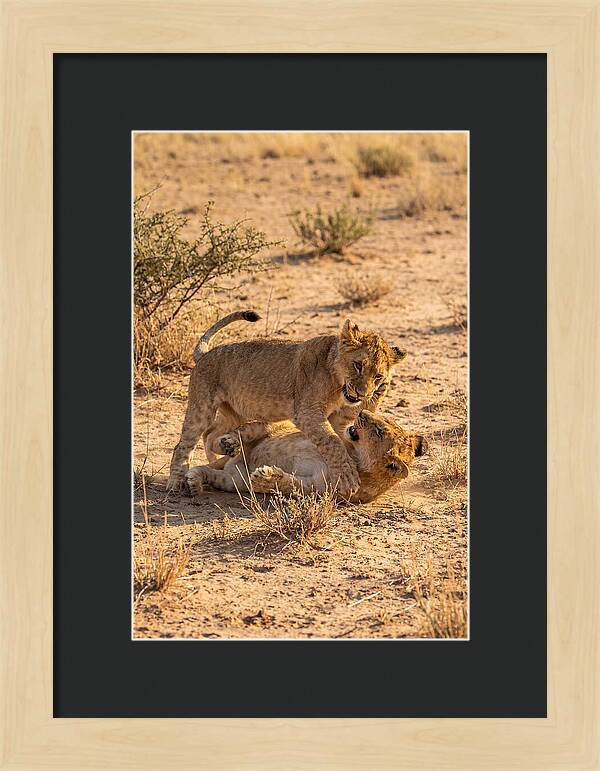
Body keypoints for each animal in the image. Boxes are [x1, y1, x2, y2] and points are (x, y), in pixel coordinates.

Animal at [167, 310, 407, 498]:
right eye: (358, 365)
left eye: (378, 376)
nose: (362, 394)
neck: (337, 384)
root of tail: (206, 354)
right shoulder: (307, 412)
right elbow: (332, 442)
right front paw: (348, 476)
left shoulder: (340, 418)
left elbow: (340, 438)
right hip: (202, 406)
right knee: (183, 444)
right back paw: (176, 482)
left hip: (235, 412)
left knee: (211, 434)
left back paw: (224, 451)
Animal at [185, 410, 427, 504]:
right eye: (383, 419)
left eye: (378, 430)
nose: (361, 412)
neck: (353, 455)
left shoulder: (317, 488)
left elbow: (290, 484)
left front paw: (266, 477)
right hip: (271, 427)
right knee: (247, 430)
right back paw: (228, 443)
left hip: (235, 481)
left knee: (211, 473)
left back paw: (194, 482)